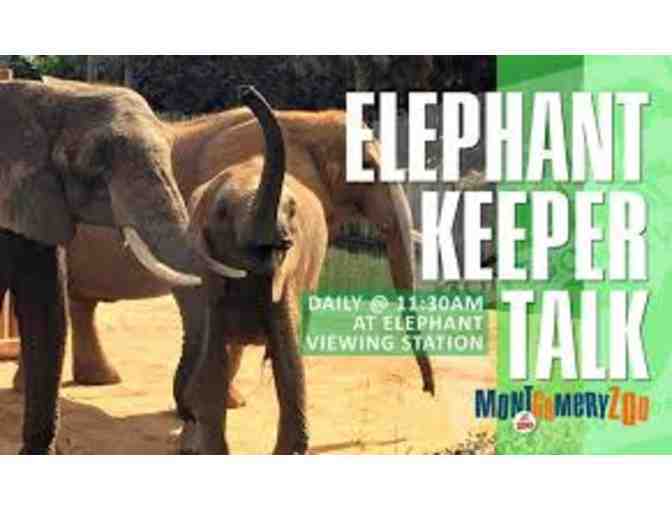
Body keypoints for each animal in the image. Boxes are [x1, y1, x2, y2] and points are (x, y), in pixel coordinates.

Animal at [23, 88, 435, 403]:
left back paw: (100, 380)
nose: (428, 391)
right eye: (368, 166)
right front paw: (225, 403)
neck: (305, 122)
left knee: (79, 302)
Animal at [180, 86, 327, 454]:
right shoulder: (210, 275)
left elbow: (290, 366)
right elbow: (212, 367)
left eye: (292, 210)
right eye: (221, 212)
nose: (244, 91)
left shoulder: (288, 277)